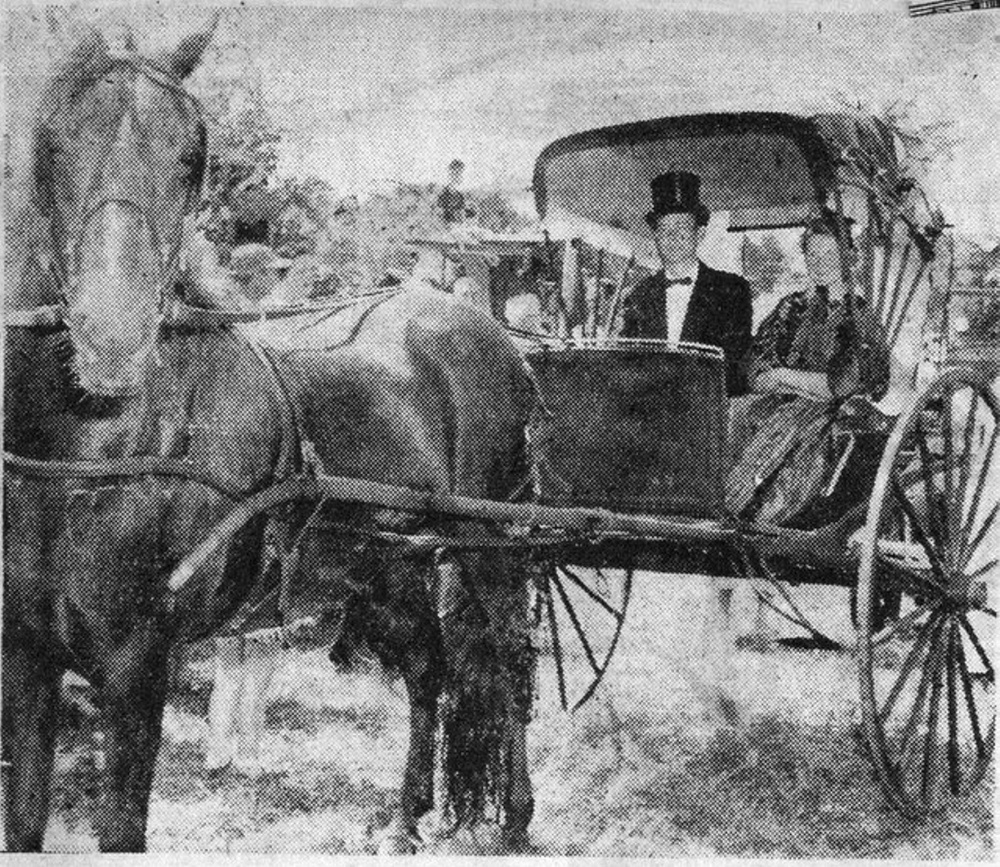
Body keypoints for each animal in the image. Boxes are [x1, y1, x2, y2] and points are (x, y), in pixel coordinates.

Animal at [3, 27, 540, 856]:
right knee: (429, 670)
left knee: (511, 661)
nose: (113, 339)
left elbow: (121, 826)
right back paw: (405, 819)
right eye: (52, 142)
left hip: (491, 547)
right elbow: (24, 820)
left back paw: (514, 816)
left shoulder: (137, 666)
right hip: (390, 566)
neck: (88, 456)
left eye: (192, 157)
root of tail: (482, 326)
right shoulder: (25, 660)